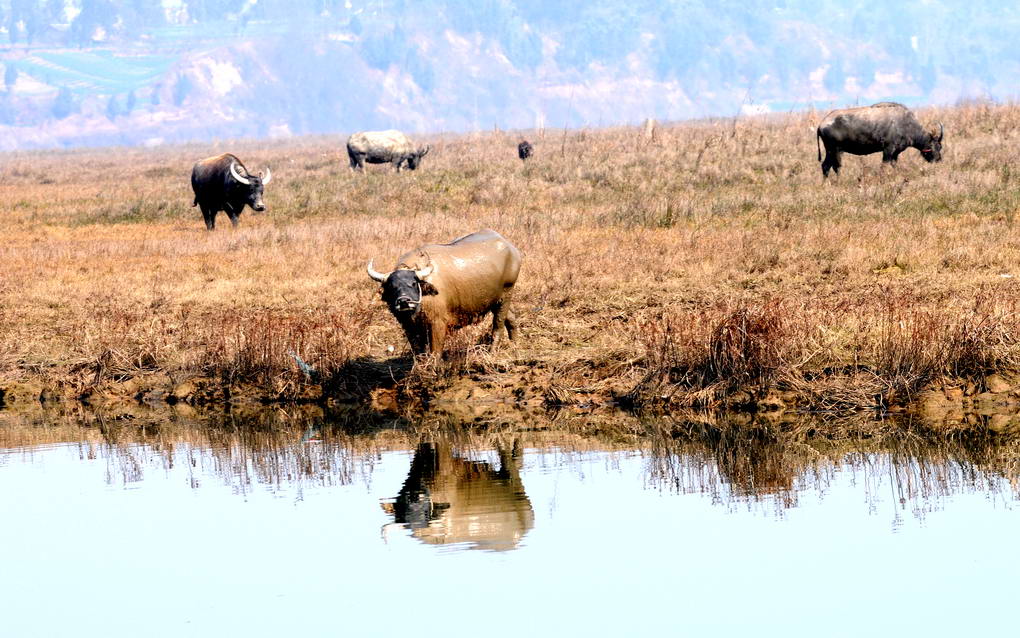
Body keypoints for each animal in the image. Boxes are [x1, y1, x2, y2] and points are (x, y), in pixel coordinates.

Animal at [367, 227, 522, 353]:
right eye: (392, 287)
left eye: (413, 283)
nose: (404, 301)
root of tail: (511, 248)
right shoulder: (408, 327)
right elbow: (418, 352)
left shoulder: (438, 324)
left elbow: (435, 352)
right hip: (498, 298)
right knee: (511, 317)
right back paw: (514, 344)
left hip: (507, 292)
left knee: (498, 325)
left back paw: (492, 350)